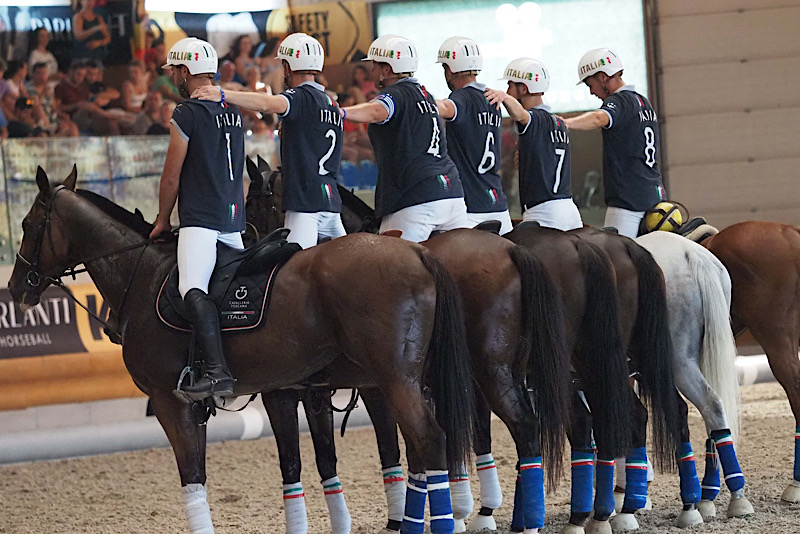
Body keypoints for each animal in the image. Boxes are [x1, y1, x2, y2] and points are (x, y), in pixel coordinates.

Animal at [9, 168, 478, 534]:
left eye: (29, 225)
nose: (16, 288)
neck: (142, 275)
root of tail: (416, 252)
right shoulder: (281, 393)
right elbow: (294, 463)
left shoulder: (170, 400)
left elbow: (192, 475)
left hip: (395, 380)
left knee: (429, 438)